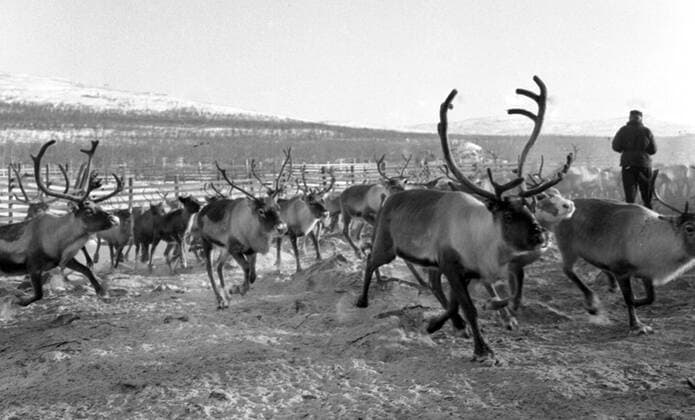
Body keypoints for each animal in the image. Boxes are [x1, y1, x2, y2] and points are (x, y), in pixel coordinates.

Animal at [0, 140, 123, 306]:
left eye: (99, 206)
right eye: (88, 211)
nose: (114, 219)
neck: (59, 242)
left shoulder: (66, 260)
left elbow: (87, 271)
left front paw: (102, 292)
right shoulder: (33, 266)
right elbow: (38, 294)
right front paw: (19, 300)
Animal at [196, 162, 287, 309]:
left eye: (278, 207)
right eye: (261, 211)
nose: (281, 227)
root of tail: (201, 210)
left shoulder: (250, 251)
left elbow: (253, 275)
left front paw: (235, 289)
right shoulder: (234, 248)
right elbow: (246, 268)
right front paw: (238, 289)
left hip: (224, 249)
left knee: (219, 266)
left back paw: (226, 297)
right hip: (207, 242)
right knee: (210, 269)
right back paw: (220, 300)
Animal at [356, 76, 572, 364]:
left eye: (529, 207)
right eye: (508, 214)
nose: (540, 236)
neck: (483, 243)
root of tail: (389, 197)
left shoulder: (465, 271)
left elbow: (460, 302)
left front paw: (441, 324)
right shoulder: (451, 264)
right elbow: (469, 307)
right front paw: (482, 349)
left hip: (429, 261)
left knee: (433, 283)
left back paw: (456, 325)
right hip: (386, 244)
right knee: (371, 260)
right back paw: (362, 300)